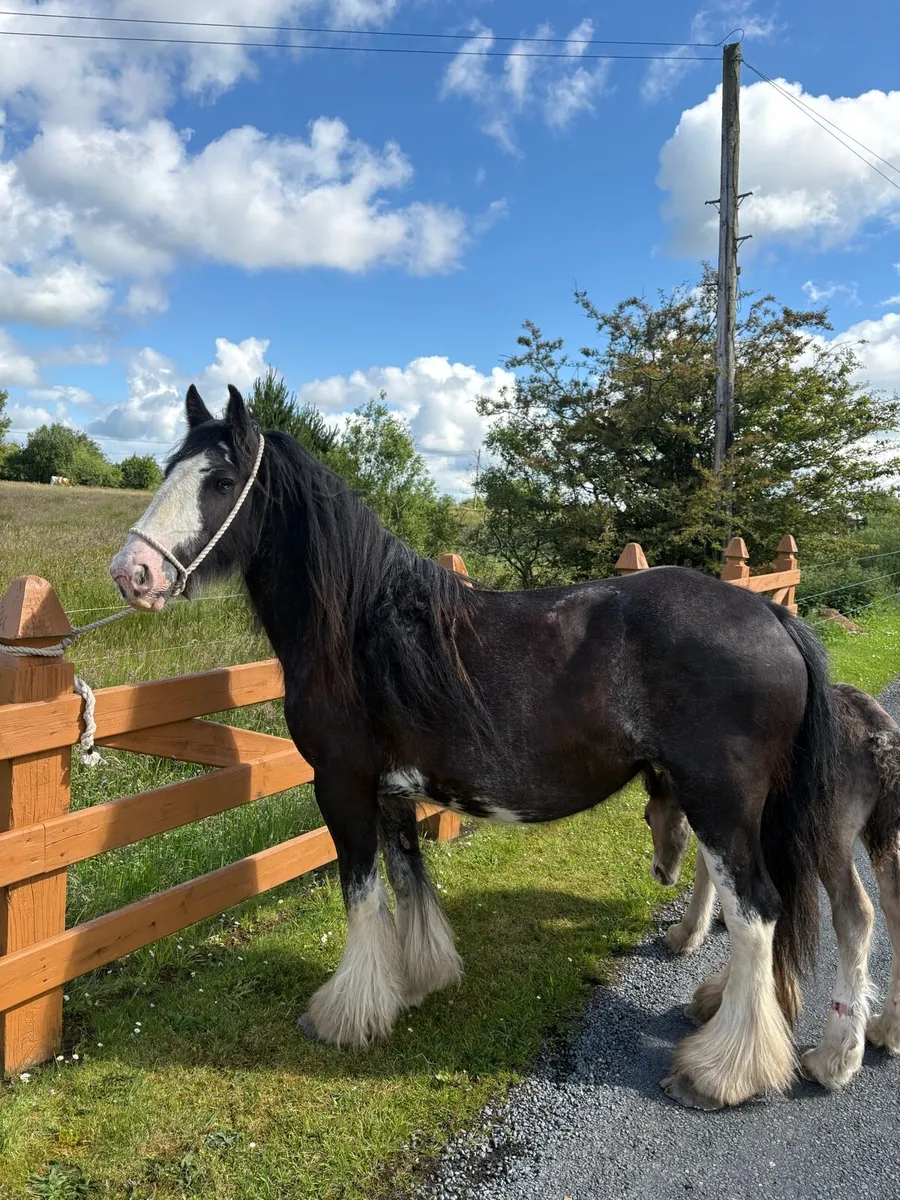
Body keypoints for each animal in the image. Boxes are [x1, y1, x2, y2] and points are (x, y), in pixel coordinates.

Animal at [109, 384, 842, 1110]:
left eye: (221, 480)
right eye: (169, 468)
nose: (131, 573)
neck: (361, 627)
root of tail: (769, 613)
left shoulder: (341, 784)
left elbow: (361, 892)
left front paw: (348, 1015)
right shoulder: (392, 790)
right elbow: (407, 878)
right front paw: (420, 979)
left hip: (721, 799)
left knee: (757, 912)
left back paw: (724, 1071)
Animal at [644, 681, 900, 1091]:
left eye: (647, 815)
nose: (661, 872)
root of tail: (880, 739)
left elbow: (714, 876)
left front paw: (687, 933)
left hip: (830, 837)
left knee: (856, 915)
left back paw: (833, 1060)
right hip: (881, 837)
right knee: (894, 907)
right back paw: (886, 1029)